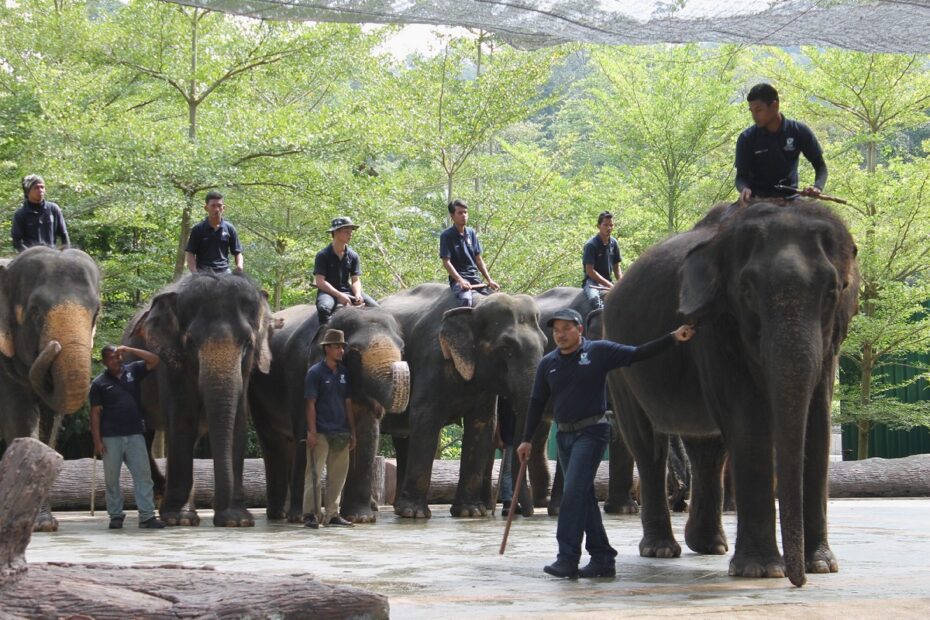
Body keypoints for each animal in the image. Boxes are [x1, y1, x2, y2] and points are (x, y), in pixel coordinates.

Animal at [0, 246, 100, 531]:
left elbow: (49, 421)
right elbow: (20, 417)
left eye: (96, 312)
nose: (53, 347)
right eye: (34, 311)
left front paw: (43, 524)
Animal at [125, 272, 278, 527]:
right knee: (144, 435)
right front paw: (179, 519)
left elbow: (237, 423)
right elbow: (182, 419)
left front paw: (237, 520)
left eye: (248, 343)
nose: (218, 513)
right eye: (191, 342)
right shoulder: (170, 364)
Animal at [248, 304, 410, 524]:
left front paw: (360, 518)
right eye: (354, 352)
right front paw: (301, 517)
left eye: (402, 349)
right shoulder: (301, 372)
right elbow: (306, 431)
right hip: (257, 395)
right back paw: (280, 514)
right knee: (273, 442)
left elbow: (366, 435)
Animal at [379, 283, 546, 519]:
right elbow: (426, 420)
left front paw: (470, 512)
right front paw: (415, 514)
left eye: (545, 344)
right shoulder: (432, 358)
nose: (526, 512)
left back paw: (397, 509)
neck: (473, 307)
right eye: (506, 349)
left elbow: (482, 425)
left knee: (403, 438)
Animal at [604, 200, 858, 587]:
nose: (797, 581)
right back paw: (661, 549)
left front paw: (822, 566)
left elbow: (818, 422)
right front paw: (762, 571)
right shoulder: (716, 324)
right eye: (747, 291)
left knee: (708, 448)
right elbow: (748, 419)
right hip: (619, 362)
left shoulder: (831, 341)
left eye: (833, 291)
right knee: (648, 446)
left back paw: (709, 546)